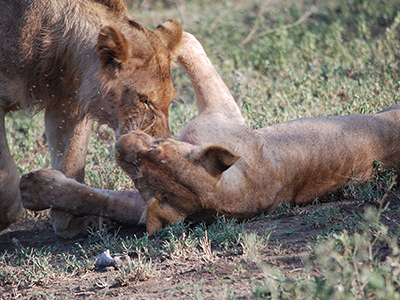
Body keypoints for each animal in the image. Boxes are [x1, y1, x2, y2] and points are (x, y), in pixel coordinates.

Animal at [0, 0, 182, 232]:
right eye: (143, 100)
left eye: (170, 99)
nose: (160, 144)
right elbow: (6, 182)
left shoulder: (70, 104)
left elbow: (71, 164)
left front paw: (69, 223)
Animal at [20, 31, 400, 237]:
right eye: (140, 170)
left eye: (155, 149)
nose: (121, 144)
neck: (227, 191)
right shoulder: (142, 206)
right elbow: (95, 198)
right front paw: (34, 189)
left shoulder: (219, 112)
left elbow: (195, 55)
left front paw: (167, 37)